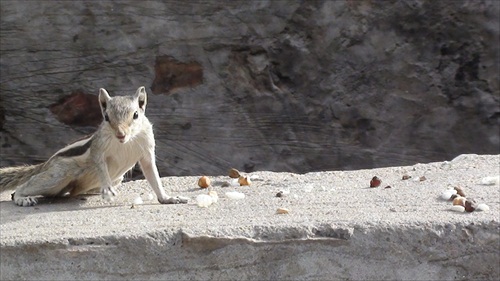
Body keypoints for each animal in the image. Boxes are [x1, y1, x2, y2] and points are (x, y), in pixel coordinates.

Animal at [0, 85, 188, 206]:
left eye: (135, 115)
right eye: (106, 117)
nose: (120, 134)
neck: (126, 142)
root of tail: (46, 164)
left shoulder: (147, 150)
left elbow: (153, 175)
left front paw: (167, 198)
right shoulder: (99, 149)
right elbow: (100, 166)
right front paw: (107, 189)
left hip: (114, 179)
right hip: (58, 175)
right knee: (24, 187)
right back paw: (21, 198)